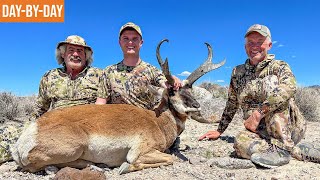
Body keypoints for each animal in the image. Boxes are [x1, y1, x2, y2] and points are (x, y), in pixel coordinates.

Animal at [11, 39, 225, 174]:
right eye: (172, 92)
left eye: (190, 89)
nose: (196, 105)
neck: (156, 120)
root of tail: (30, 131)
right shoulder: (140, 152)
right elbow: (165, 159)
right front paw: (125, 167)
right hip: (75, 146)